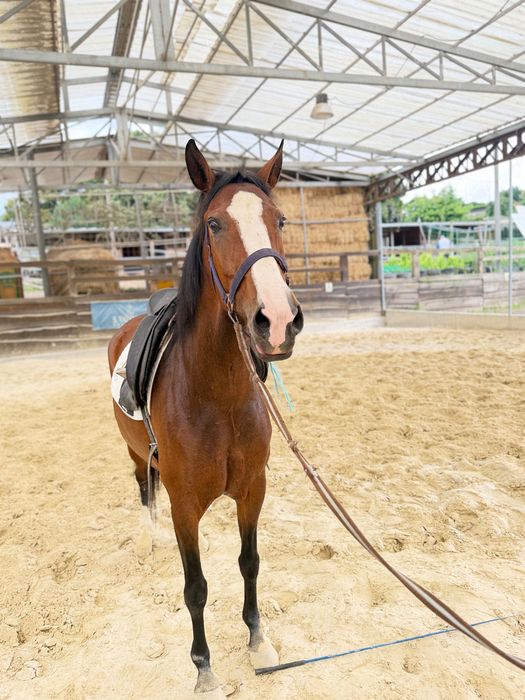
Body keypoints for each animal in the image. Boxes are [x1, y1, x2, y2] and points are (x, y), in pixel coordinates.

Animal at [108, 139, 303, 696]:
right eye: (215, 224)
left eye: (279, 219)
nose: (277, 321)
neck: (215, 396)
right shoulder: (184, 507)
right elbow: (195, 587)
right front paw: (204, 669)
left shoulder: (253, 490)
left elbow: (249, 563)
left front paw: (259, 642)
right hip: (136, 454)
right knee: (143, 489)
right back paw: (147, 538)